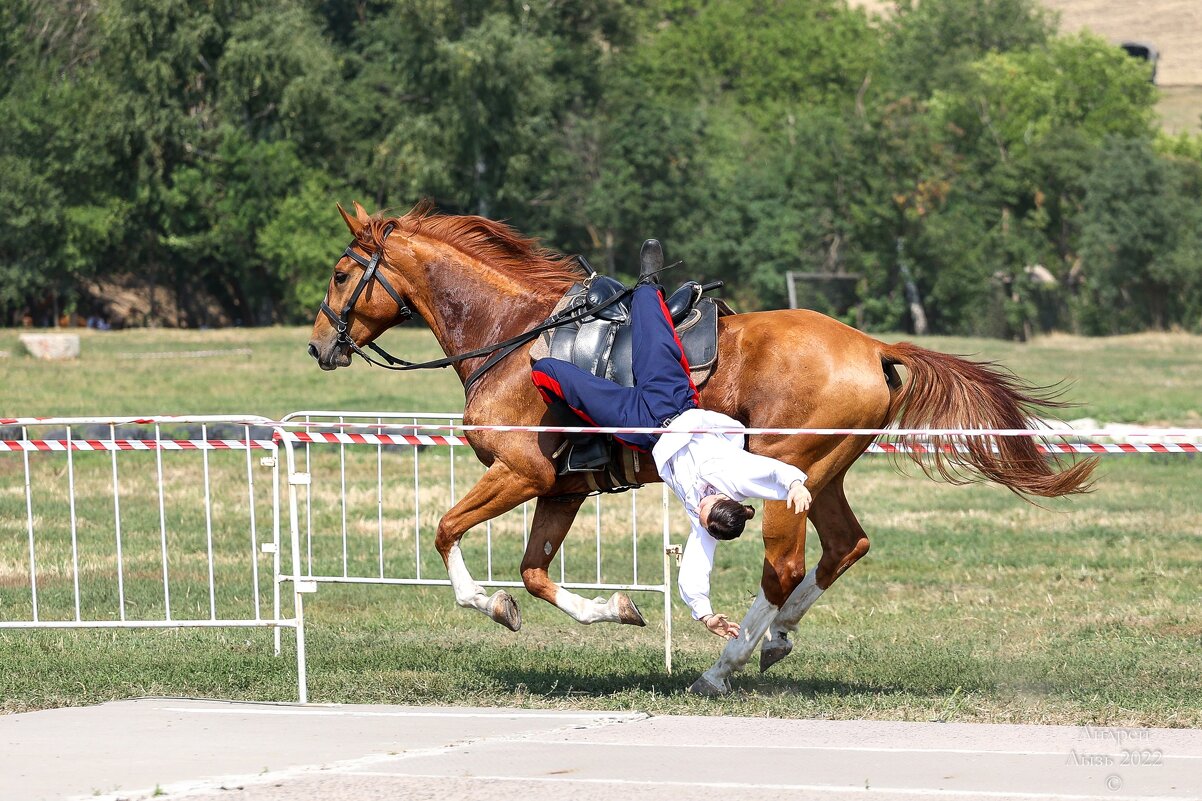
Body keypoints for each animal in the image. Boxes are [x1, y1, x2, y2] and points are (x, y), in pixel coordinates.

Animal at [305, 204, 1096, 692]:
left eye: (341, 275)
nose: (317, 346)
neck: (513, 335)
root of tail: (872, 345)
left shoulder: (521, 471)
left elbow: (446, 532)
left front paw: (487, 603)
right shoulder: (559, 488)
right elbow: (534, 573)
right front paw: (612, 611)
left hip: (790, 469)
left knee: (786, 566)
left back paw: (726, 662)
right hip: (824, 475)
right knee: (845, 548)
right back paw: (775, 638)